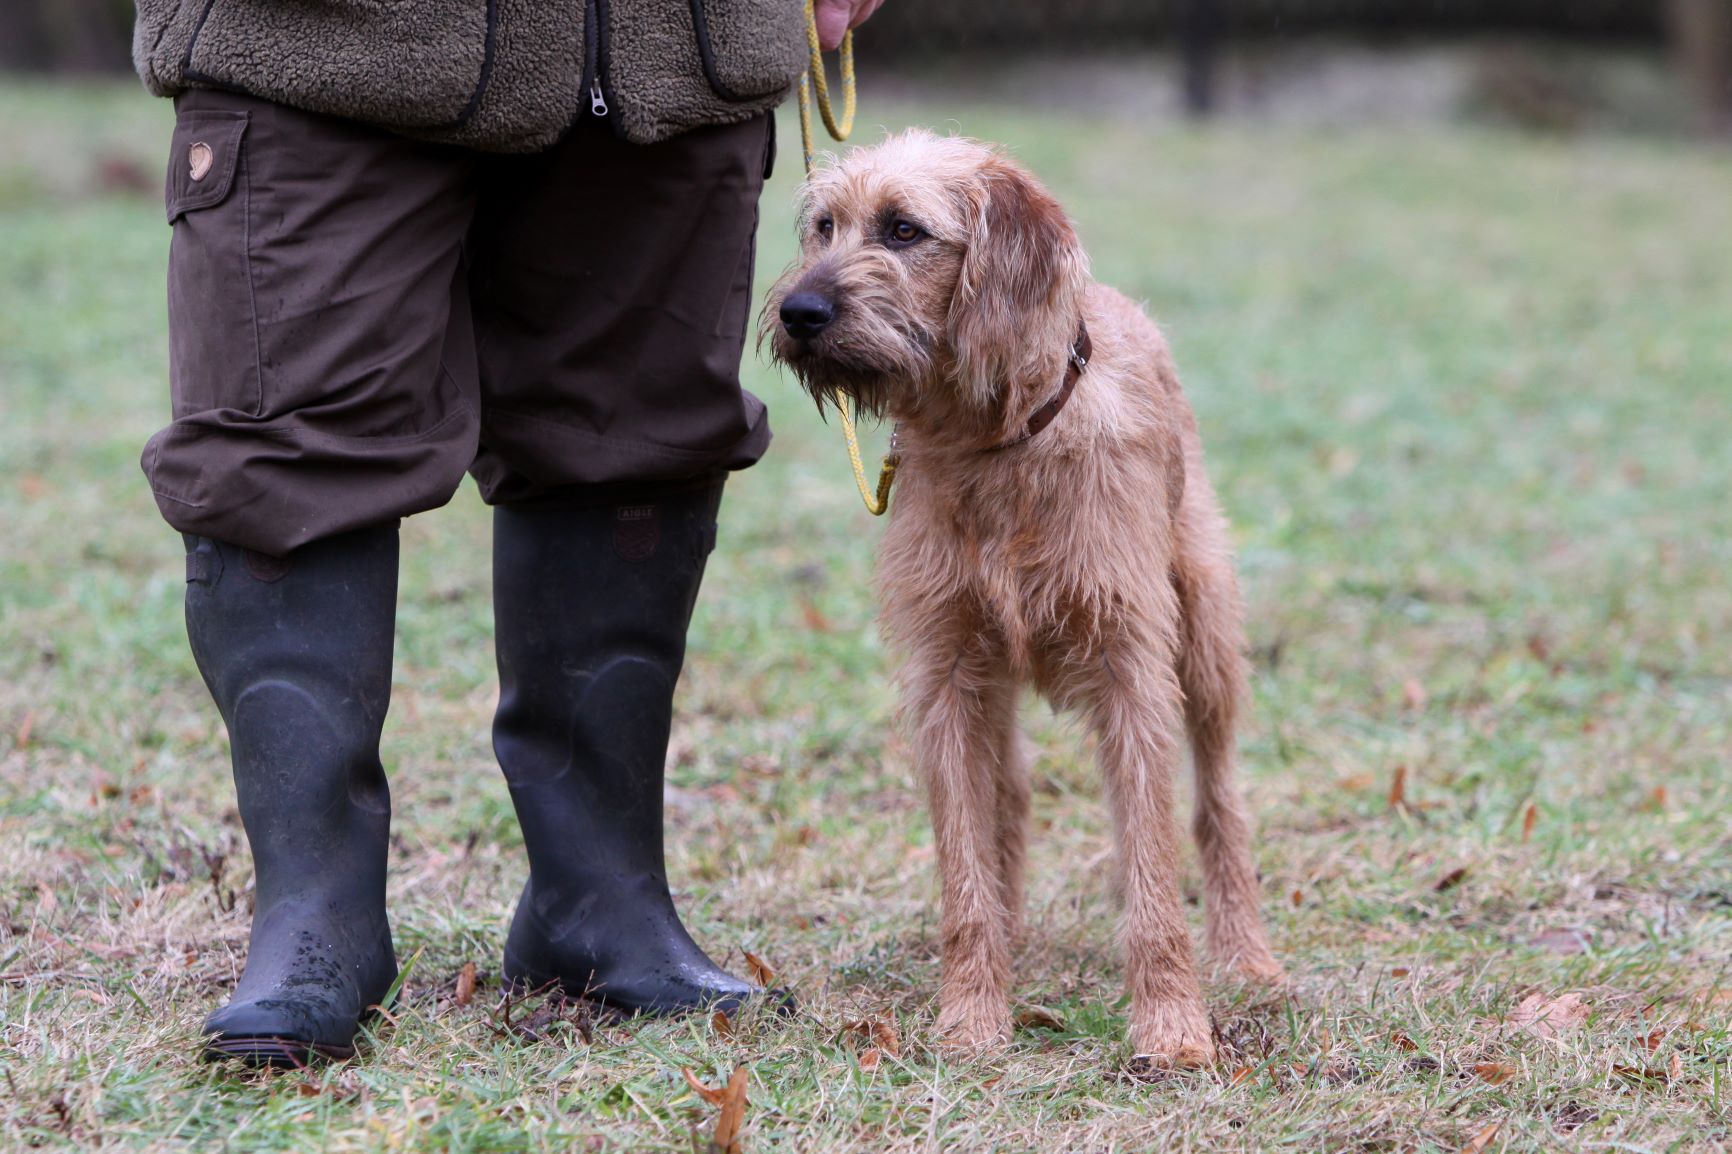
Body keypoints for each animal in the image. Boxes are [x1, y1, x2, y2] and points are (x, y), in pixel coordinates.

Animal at [765, 128, 1281, 1060]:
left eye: (903, 230)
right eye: (824, 226)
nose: (799, 311)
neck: (993, 445)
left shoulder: (1133, 671)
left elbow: (1152, 868)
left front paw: (1172, 1026)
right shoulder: (944, 677)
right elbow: (964, 868)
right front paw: (973, 1015)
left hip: (1207, 643)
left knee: (1219, 801)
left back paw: (1246, 957)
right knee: (1008, 799)